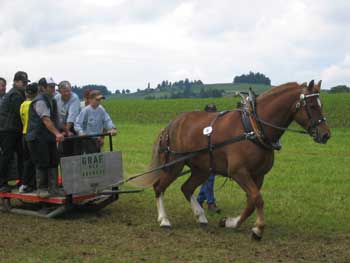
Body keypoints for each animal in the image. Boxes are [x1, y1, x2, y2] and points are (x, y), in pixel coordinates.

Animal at [131, 81, 330, 241]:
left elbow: (251, 202)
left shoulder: (258, 175)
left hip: (201, 169)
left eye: (321, 104)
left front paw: (231, 223)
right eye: (312, 105)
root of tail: (171, 124)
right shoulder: (238, 172)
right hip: (175, 164)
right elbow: (257, 198)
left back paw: (201, 216)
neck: (253, 127)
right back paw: (164, 220)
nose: (326, 134)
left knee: (186, 188)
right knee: (159, 187)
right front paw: (258, 229)